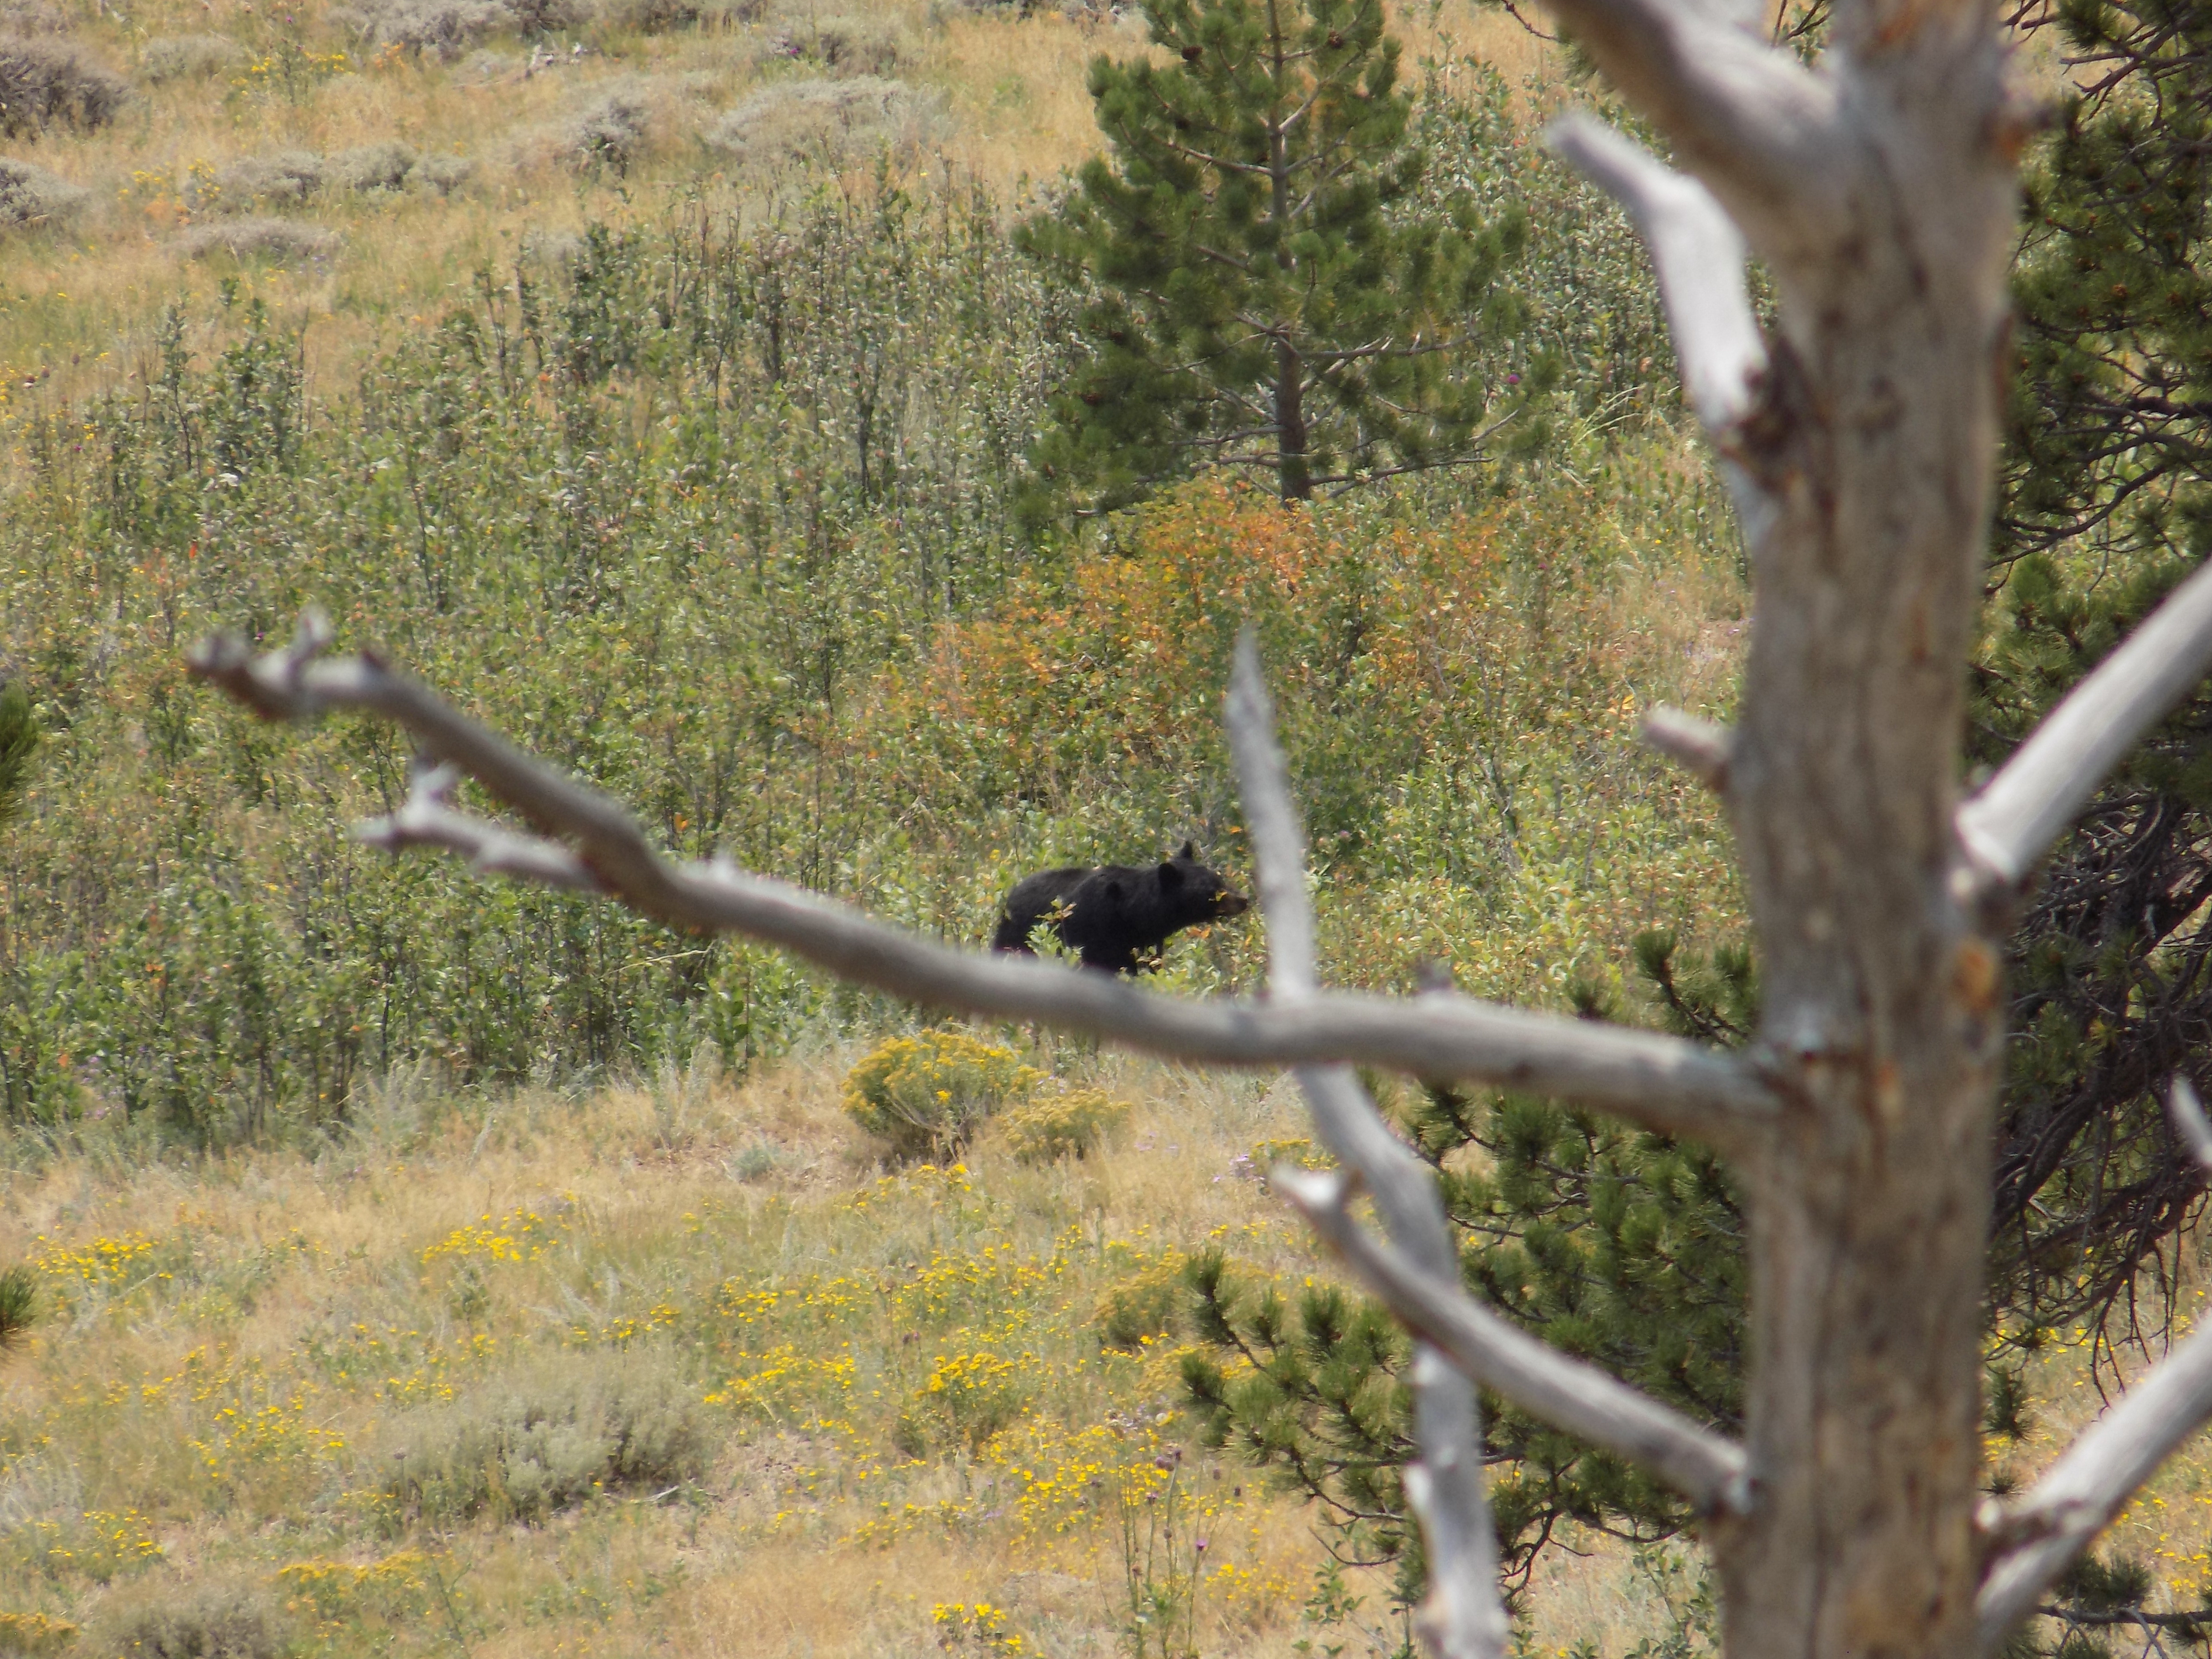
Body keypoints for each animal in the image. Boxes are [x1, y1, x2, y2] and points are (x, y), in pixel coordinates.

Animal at [991, 841, 1250, 975]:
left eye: (1219, 878)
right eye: (1212, 890)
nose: (1244, 899)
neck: (1132, 914)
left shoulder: (1145, 944)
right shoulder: (1091, 932)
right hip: (1015, 938)